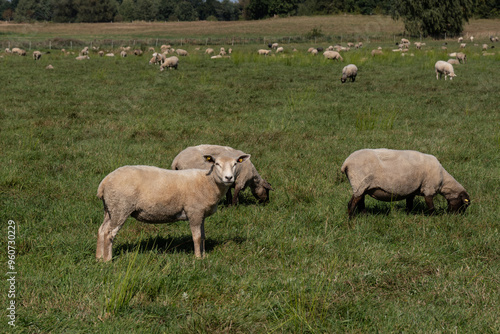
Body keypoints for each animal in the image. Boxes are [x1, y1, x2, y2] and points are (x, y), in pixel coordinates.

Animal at [94, 153, 250, 262]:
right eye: (217, 164)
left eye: (235, 164)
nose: (229, 178)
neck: (208, 182)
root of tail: (104, 182)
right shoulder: (194, 211)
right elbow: (197, 237)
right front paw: (198, 258)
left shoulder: (201, 214)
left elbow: (203, 236)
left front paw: (204, 255)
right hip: (121, 207)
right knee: (109, 233)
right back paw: (108, 260)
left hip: (110, 208)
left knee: (101, 230)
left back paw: (99, 258)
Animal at [338, 148, 470, 217]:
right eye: (464, 205)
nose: (457, 217)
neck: (443, 180)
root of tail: (346, 163)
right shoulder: (429, 188)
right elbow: (431, 206)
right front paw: (434, 217)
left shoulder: (412, 190)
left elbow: (409, 204)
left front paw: (408, 215)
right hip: (359, 182)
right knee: (351, 204)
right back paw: (351, 220)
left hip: (363, 186)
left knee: (360, 202)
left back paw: (364, 216)